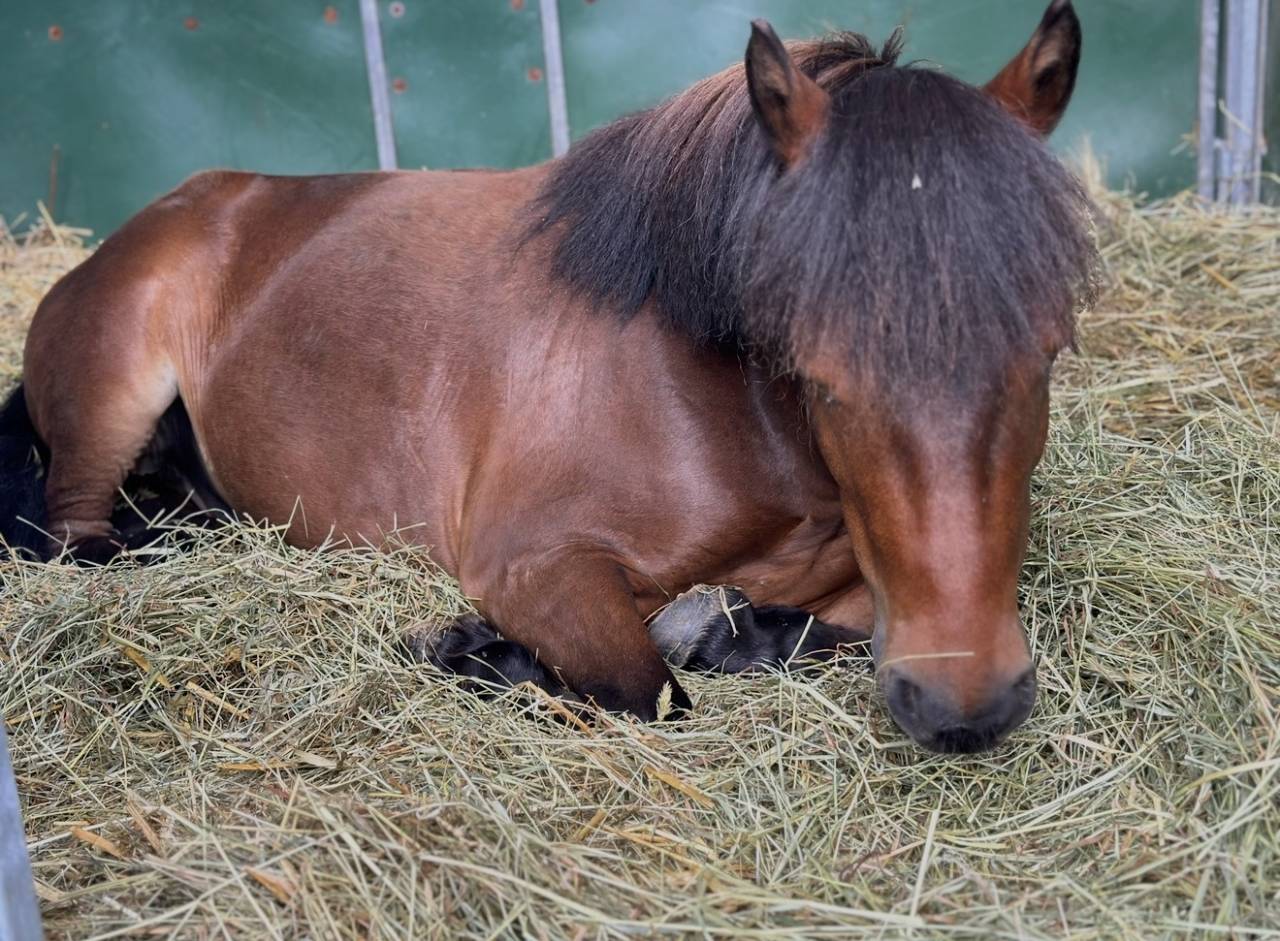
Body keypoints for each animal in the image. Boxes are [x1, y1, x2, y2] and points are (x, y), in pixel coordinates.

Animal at [0, 0, 1095, 753]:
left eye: (1045, 347)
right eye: (819, 373)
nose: (964, 703)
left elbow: (794, 633)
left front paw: (719, 627)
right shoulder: (537, 564)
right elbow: (649, 689)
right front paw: (476, 651)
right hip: (106, 406)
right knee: (80, 541)